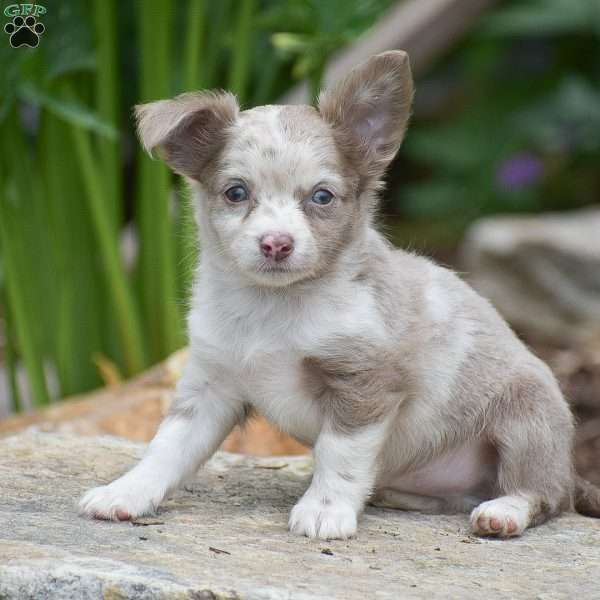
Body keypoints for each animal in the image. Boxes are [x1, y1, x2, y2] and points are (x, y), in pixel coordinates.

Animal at [79, 52, 600, 540]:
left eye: (322, 197)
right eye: (236, 192)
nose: (276, 243)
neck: (273, 306)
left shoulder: (364, 386)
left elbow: (339, 454)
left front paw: (324, 510)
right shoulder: (210, 384)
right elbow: (166, 448)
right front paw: (126, 492)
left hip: (528, 420)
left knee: (543, 494)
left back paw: (503, 512)